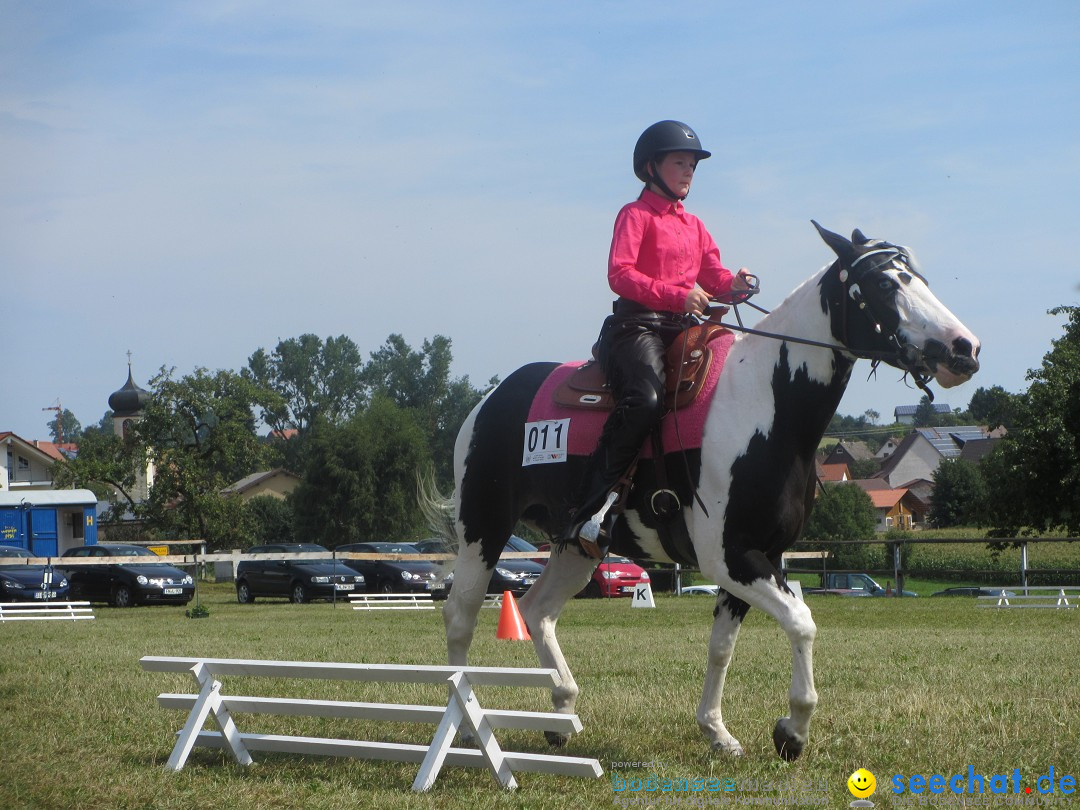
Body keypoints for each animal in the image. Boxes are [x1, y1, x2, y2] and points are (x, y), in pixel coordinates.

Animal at [421, 222, 980, 760]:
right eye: (885, 283)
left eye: (918, 276)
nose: (965, 348)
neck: (764, 405)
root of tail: (489, 401)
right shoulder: (729, 556)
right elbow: (801, 621)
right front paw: (792, 730)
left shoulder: (759, 557)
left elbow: (721, 647)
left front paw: (718, 732)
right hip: (484, 529)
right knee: (460, 617)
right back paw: (465, 726)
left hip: (575, 546)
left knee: (537, 611)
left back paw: (561, 711)